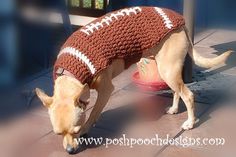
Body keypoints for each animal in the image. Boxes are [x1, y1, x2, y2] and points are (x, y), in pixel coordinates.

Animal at [35, 7, 232, 153]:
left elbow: (93, 112)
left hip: (168, 70)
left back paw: (190, 123)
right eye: (57, 134)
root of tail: (181, 23)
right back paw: (174, 109)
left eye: (75, 131)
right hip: (166, 69)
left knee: (188, 95)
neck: (71, 70)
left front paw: (86, 129)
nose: (69, 151)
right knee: (178, 91)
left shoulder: (106, 90)